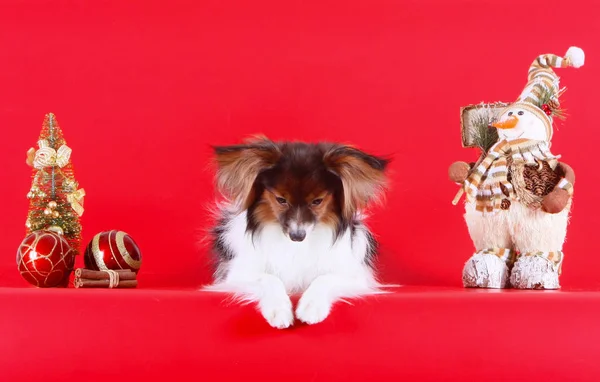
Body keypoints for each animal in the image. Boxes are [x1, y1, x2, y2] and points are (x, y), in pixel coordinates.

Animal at [207, 137, 390, 328]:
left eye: (317, 201)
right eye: (281, 200)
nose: (297, 236)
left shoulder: (355, 277)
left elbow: (324, 279)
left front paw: (311, 307)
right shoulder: (238, 274)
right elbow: (269, 279)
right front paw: (279, 310)